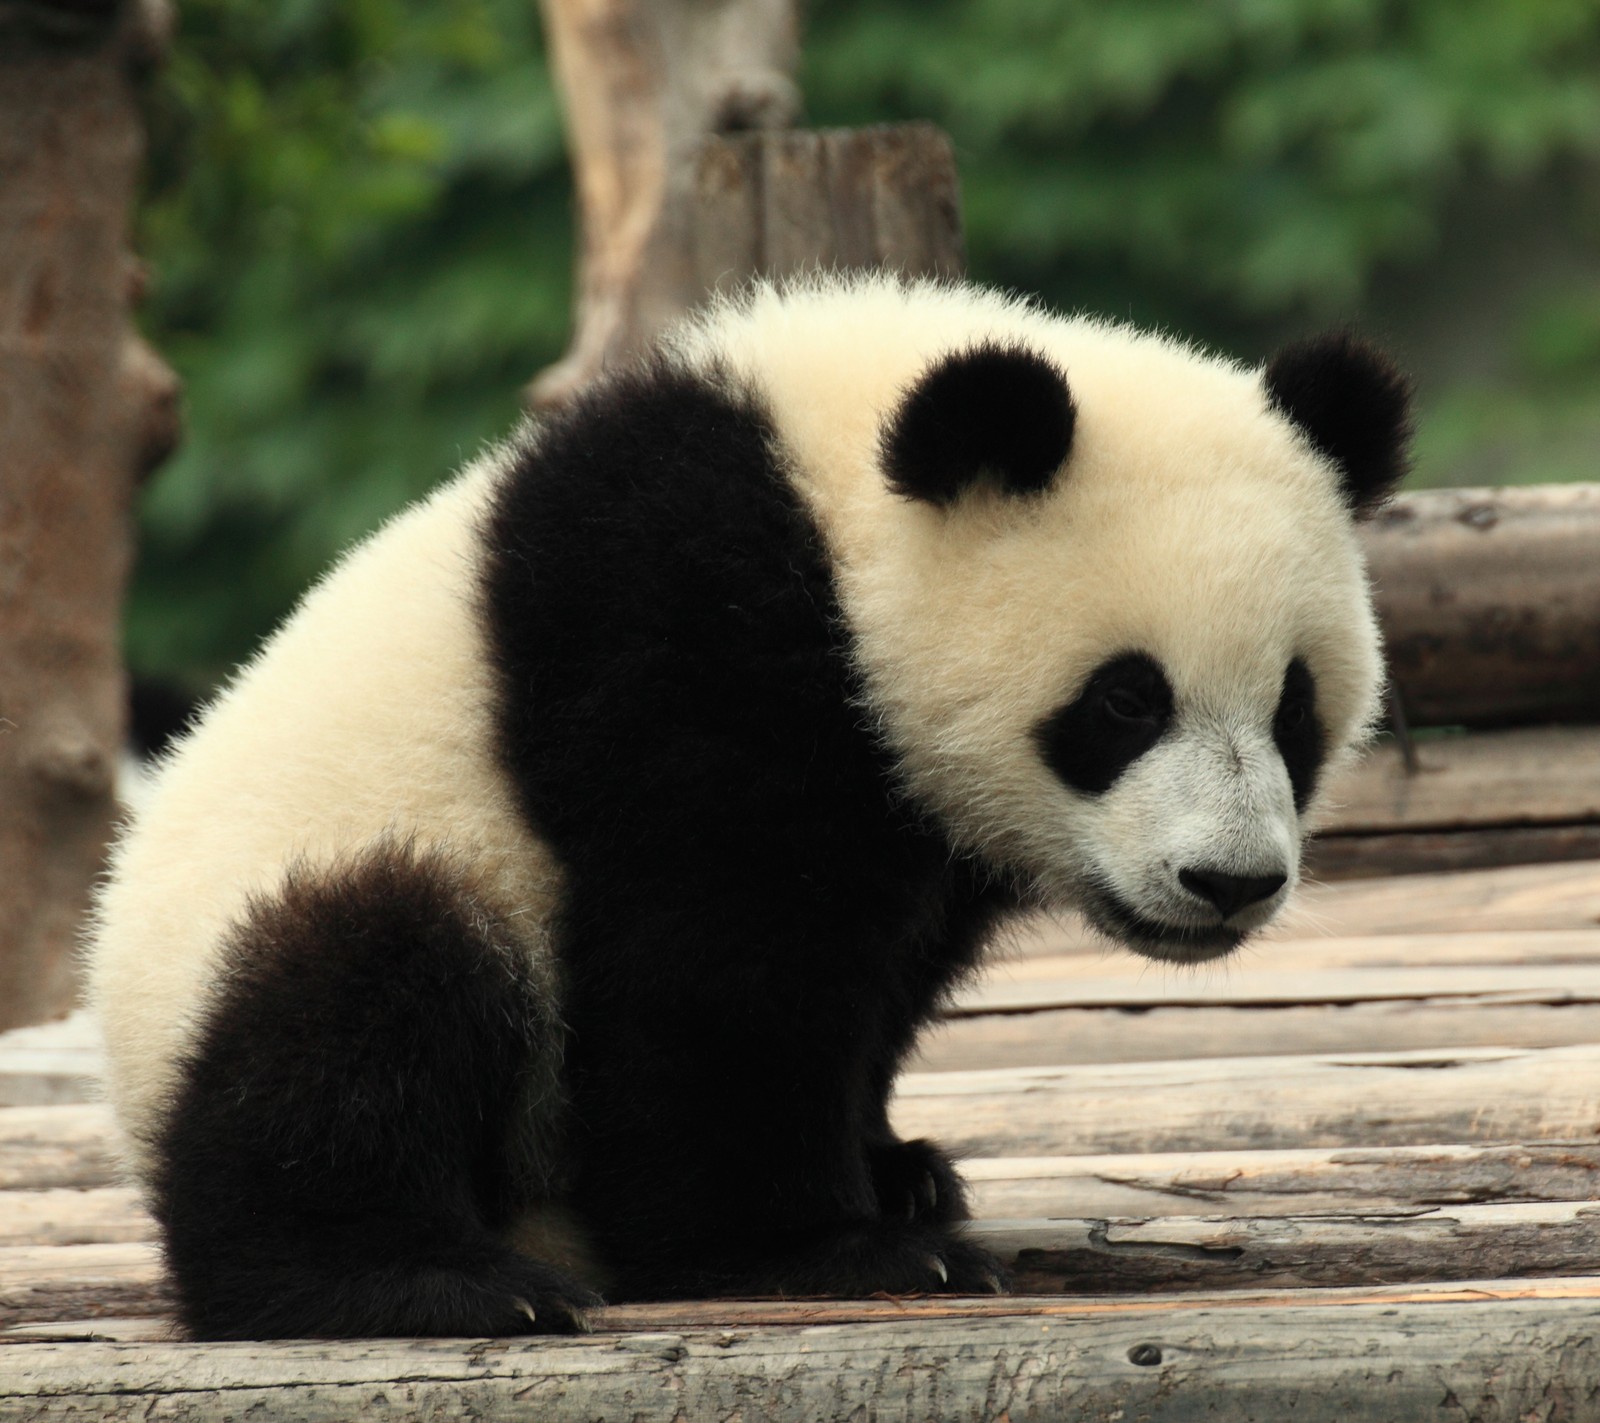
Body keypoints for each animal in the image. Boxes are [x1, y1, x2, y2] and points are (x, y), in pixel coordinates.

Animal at [90, 272, 1414, 1338]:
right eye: (1126, 700)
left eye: (1294, 708)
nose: (1227, 882)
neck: (832, 503)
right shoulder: (680, 629)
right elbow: (718, 964)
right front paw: (830, 1245)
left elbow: (875, 971)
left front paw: (894, 1169)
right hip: (319, 896)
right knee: (361, 994)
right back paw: (417, 1278)